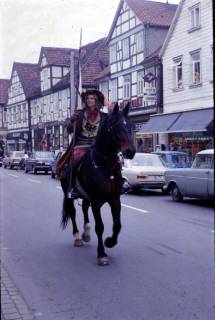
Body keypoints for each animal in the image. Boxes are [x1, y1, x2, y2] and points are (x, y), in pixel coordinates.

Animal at [59, 102, 135, 264]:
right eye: (115, 125)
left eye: (129, 124)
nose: (130, 151)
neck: (105, 164)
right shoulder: (96, 200)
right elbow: (100, 226)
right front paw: (102, 254)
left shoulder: (115, 199)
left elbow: (117, 225)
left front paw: (110, 242)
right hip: (68, 194)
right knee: (73, 212)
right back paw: (77, 237)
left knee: (84, 208)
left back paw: (86, 233)